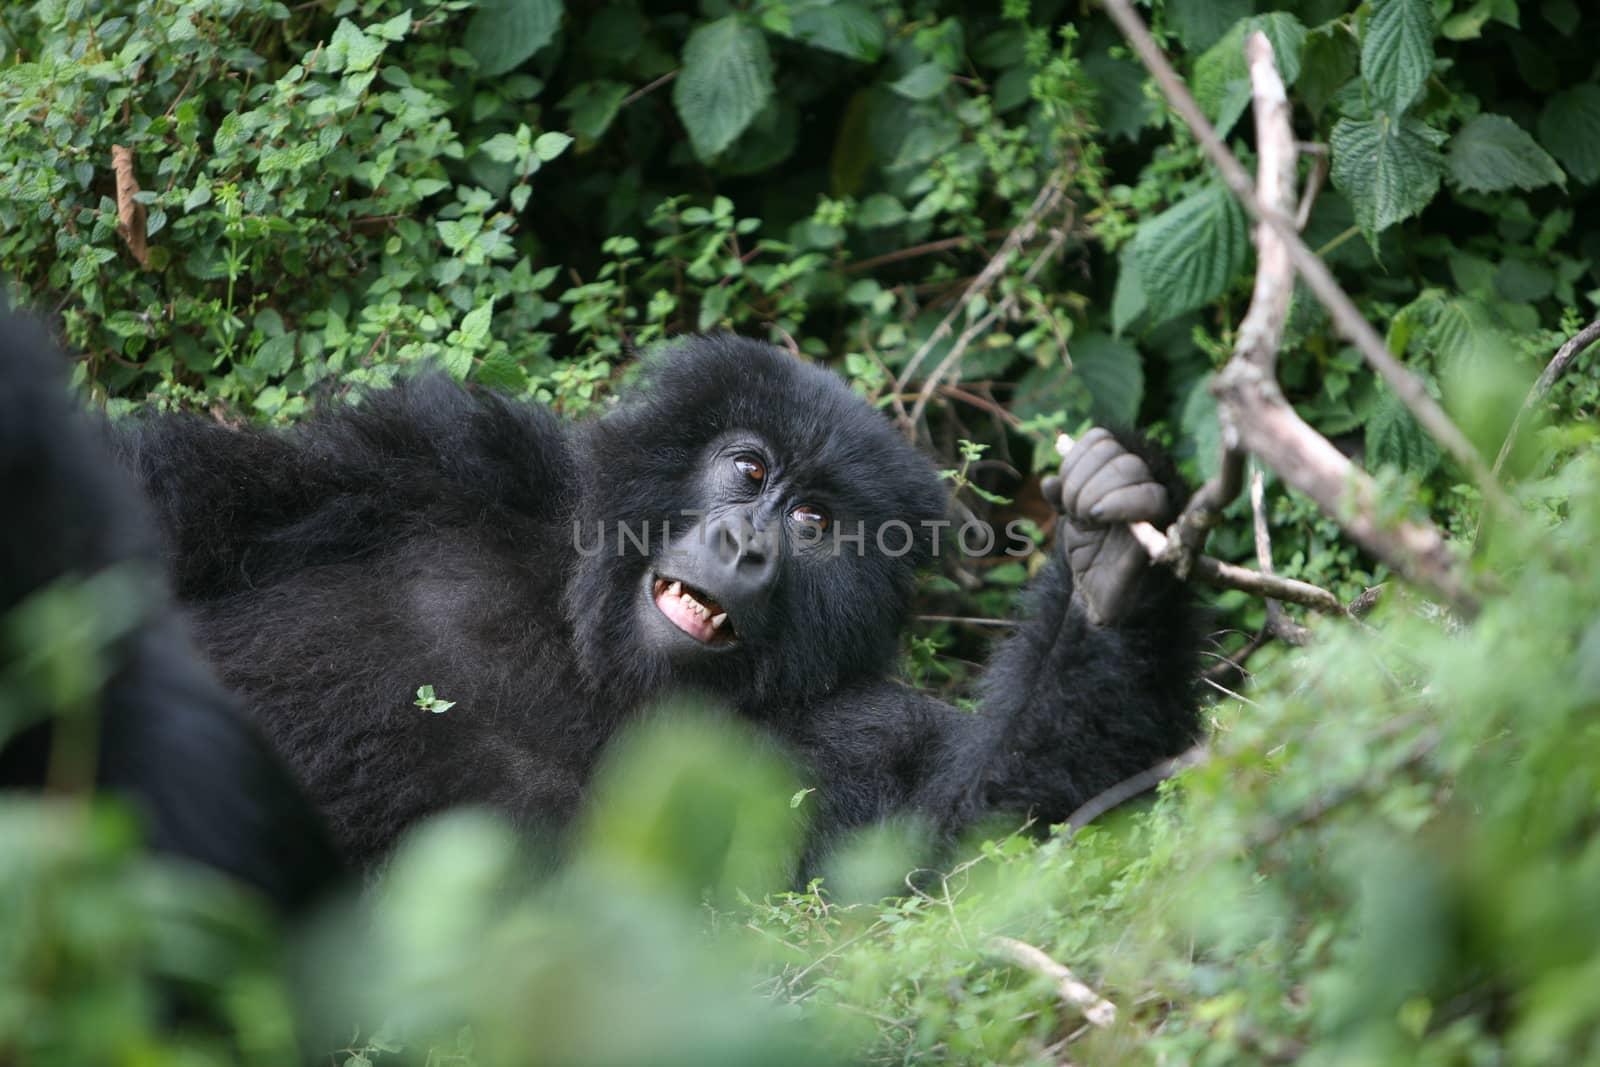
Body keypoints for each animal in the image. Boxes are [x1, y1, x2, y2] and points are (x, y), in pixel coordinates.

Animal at [116, 337, 1203, 870]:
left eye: (812, 519)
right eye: (748, 468)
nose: (744, 543)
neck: (593, 656)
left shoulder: (852, 733)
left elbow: (975, 825)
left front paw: (1113, 573)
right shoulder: (442, 460)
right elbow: (178, 498)